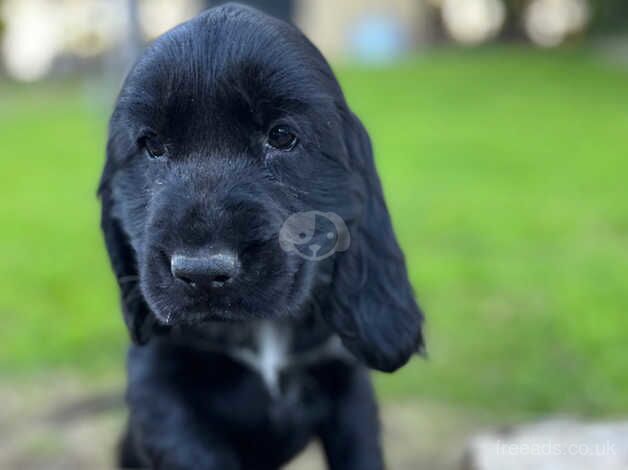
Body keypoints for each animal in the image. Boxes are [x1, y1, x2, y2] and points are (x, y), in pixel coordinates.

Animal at [100, 4, 424, 470]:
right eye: (152, 146)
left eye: (282, 136)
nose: (202, 272)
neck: (258, 330)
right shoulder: (159, 381)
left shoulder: (346, 381)